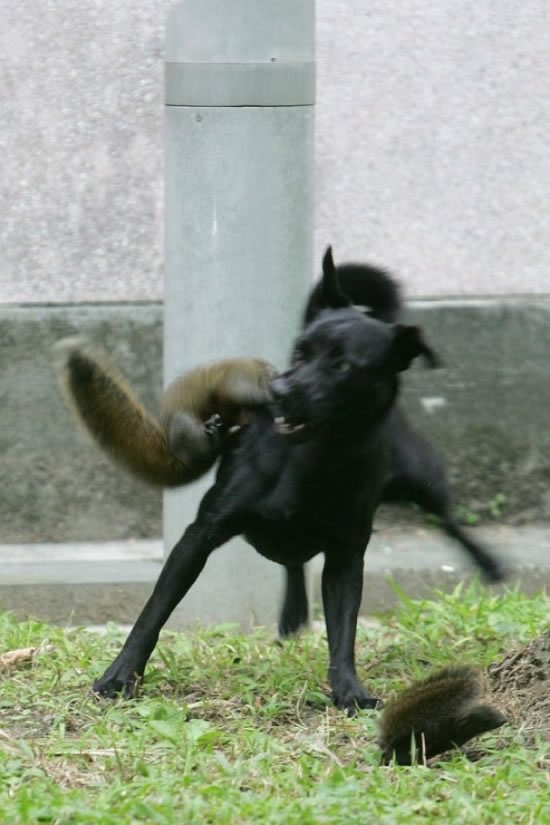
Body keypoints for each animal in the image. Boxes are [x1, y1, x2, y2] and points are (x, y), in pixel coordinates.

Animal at [53, 336, 278, 487]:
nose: (275, 376)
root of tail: (177, 456)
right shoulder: (238, 379)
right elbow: (249, 393)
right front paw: (270, 394)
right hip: (185, 426)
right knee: (206, 449)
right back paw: (214, 437)